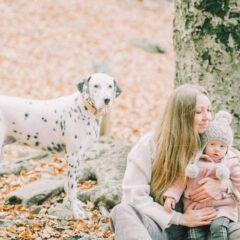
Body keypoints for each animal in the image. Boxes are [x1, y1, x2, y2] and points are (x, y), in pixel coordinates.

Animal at [0, 72, 121, 218]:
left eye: (109, 86)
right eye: (95, 86)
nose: (106, 99)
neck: (83, 108)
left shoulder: (77, 158)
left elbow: (68, 185)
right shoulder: (73, 157)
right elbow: (73, 188)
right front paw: (76, 212)